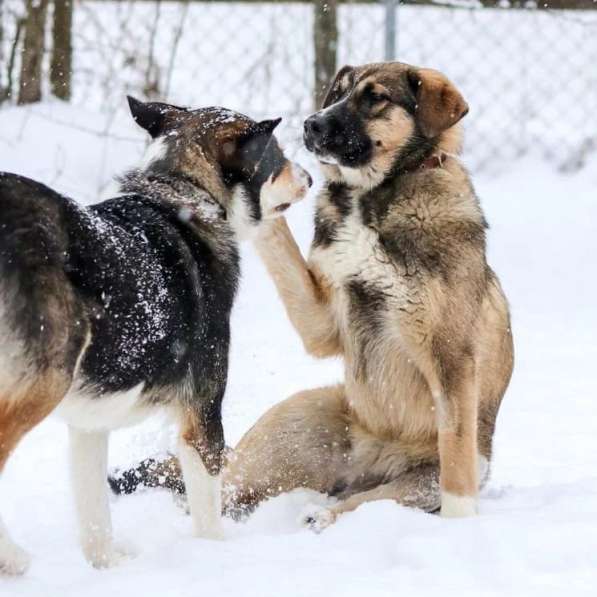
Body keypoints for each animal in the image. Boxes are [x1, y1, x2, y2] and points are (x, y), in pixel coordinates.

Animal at [0, 98, 308, 572]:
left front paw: (108, 567)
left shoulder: (90, 422)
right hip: (44, 381)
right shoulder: (202, 414)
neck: (184, 193)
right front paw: (216, 556)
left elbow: (94, 514)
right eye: (278, 158)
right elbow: (208, 509)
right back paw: (13, 559)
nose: (311, 177)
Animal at [110, 64, 512, 532]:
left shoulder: (452, 357)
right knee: (223, 487)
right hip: (290, 435)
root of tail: (372, 460)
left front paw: (459, 525)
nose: (311, 124)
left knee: (368, 497)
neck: (372, 198)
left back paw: (322, 515)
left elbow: (457, 465)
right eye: (336, 94)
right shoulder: (323, 321)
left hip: (421, 477)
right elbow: (282, 248)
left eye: (375, 98)